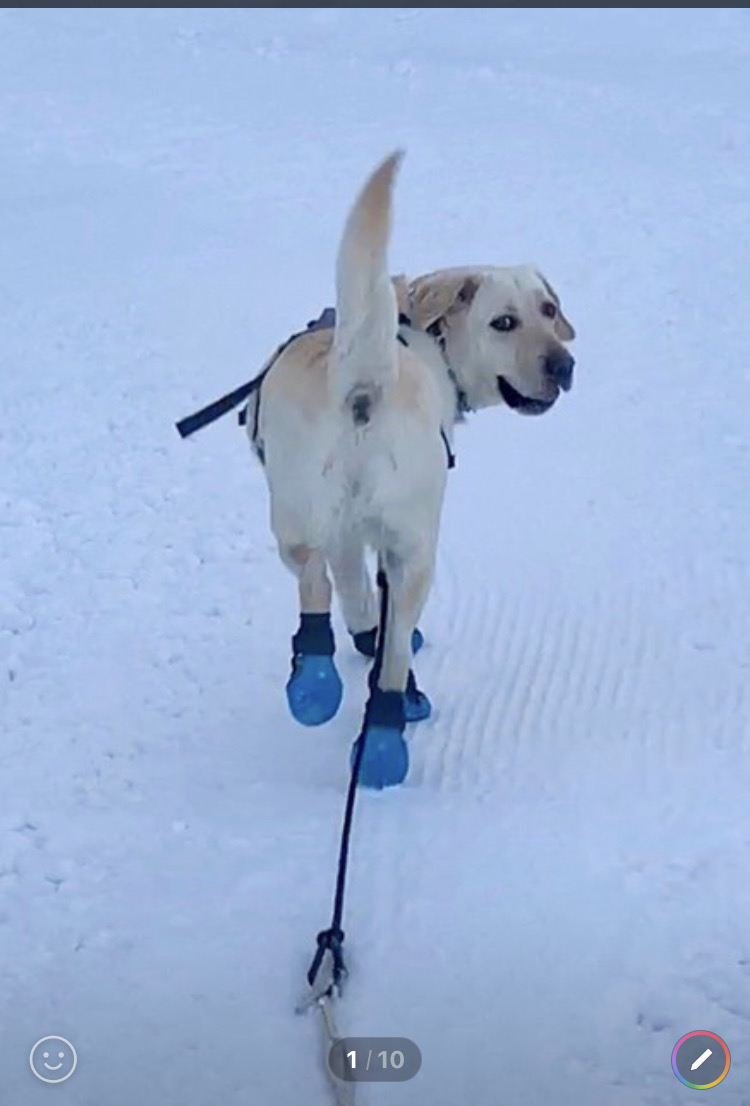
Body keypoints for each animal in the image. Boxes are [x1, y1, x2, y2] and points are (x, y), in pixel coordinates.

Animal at [241, 149, 575, 787]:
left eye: (548, 310)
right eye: (503, 322)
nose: (565, 365)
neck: (424, 340)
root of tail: (361, 378)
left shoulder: (349, 534)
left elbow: (356, 597)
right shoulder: (382, 540)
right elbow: (375, 615)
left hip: (295, 515)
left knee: (314, 579)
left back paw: (315, 689)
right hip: (417, 546)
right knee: (388, 646)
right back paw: (389, 724)